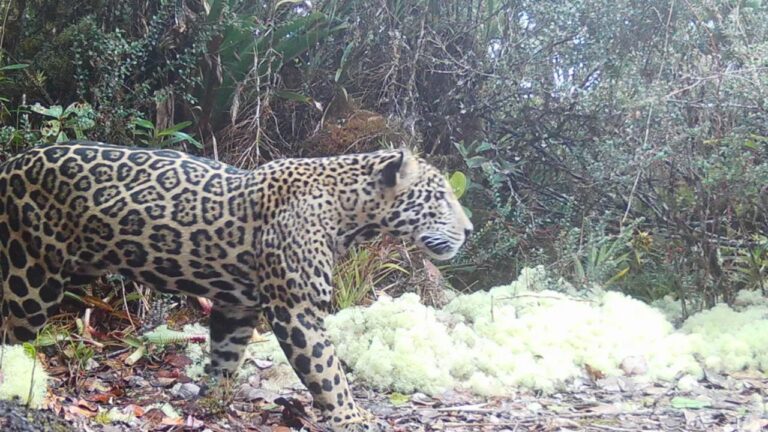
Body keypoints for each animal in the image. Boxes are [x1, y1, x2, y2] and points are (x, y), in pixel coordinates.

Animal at [0, 141, 473, 431]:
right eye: (440, 198)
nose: (469, 230)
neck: (348, 212)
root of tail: (11, 162)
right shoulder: (297, 309)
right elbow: (328, 371)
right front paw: (352, 417)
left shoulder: (237, 306)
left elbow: (226, 356)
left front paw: (212, 402)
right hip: (31, 274)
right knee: (13, 328)